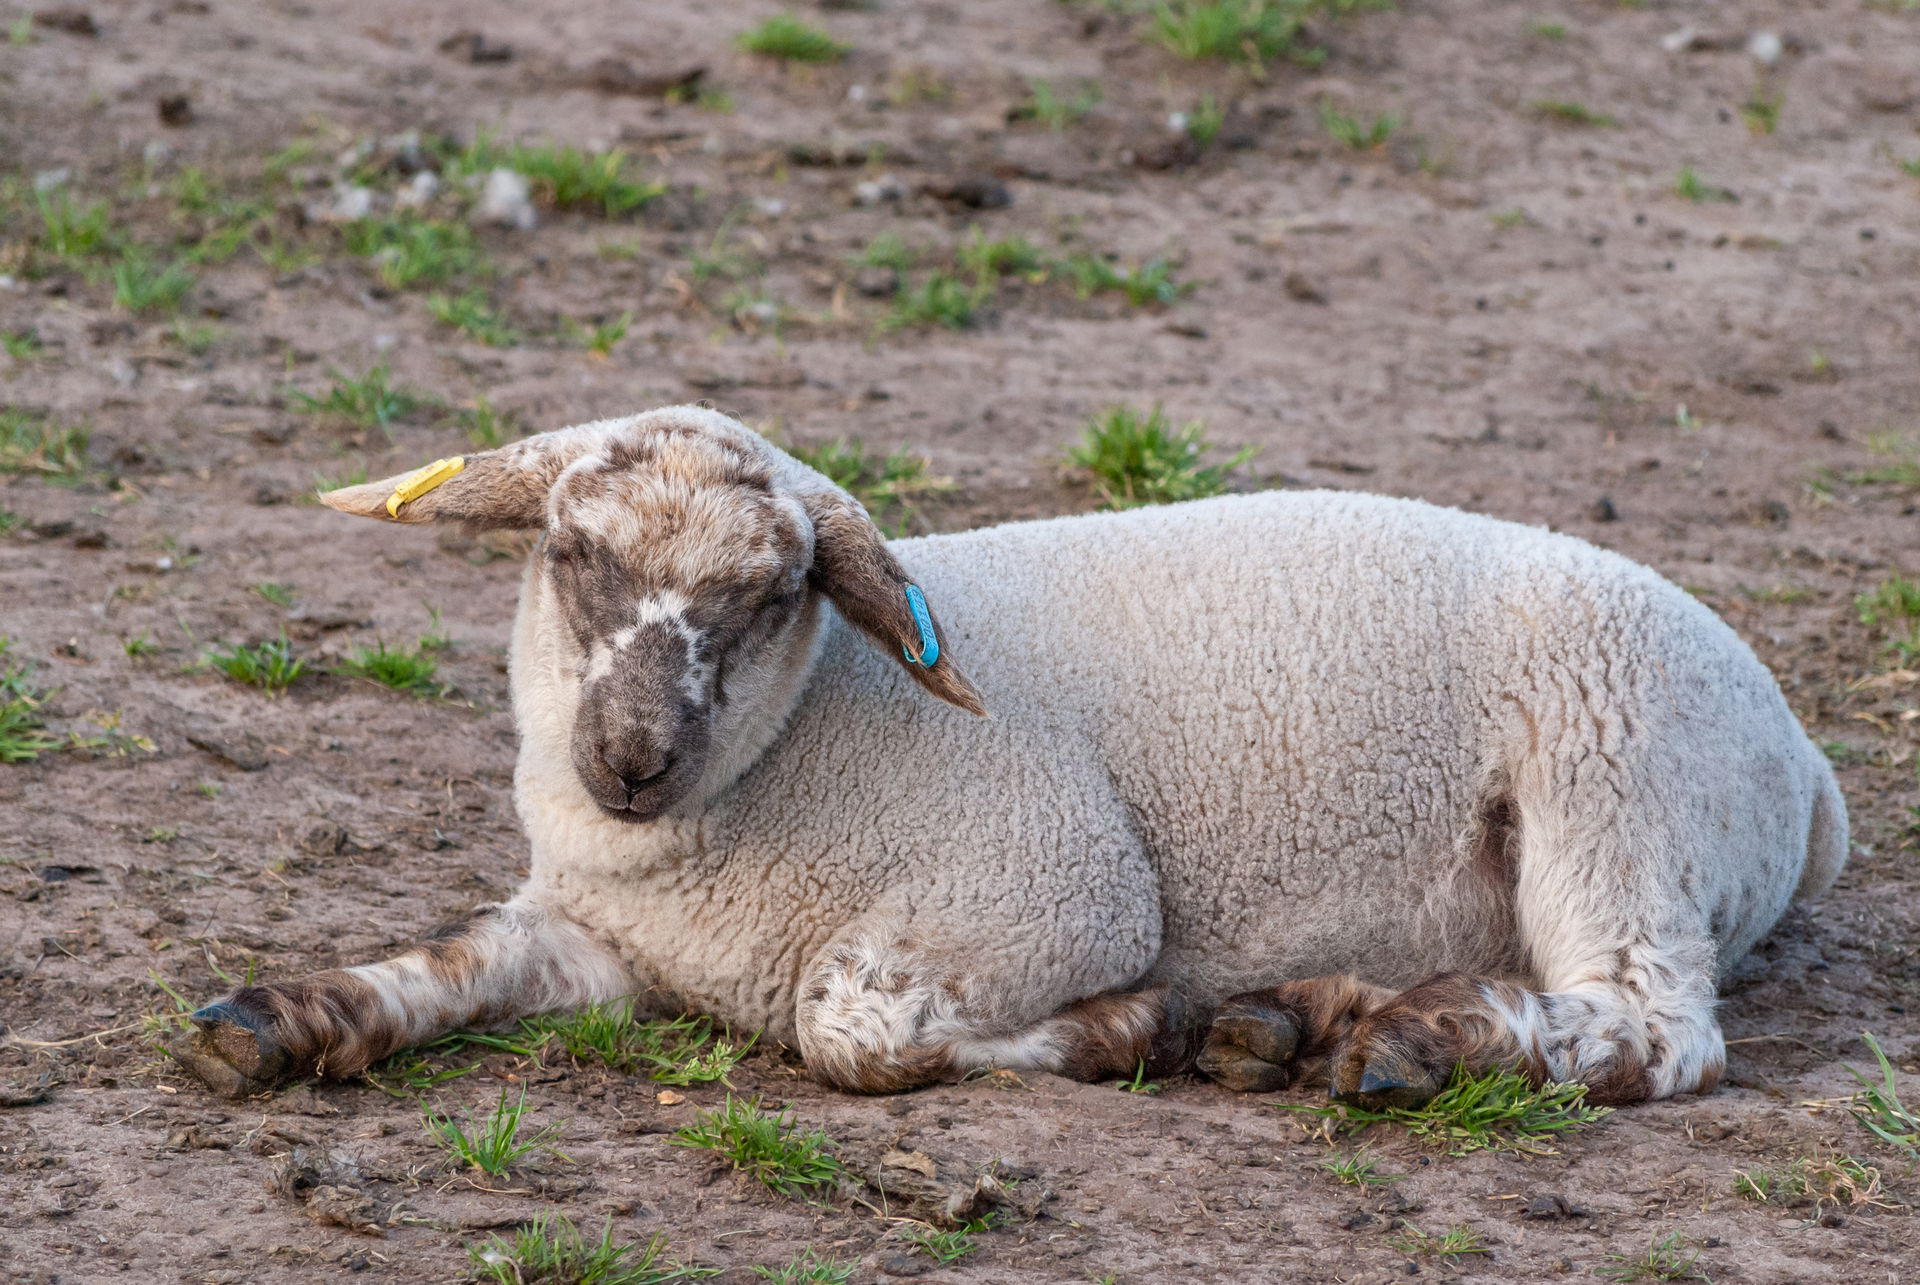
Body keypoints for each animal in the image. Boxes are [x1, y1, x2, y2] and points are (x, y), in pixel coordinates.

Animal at [166, 404, 1848, 1109]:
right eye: (571, 554)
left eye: (769, 594)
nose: (630, 756)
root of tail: (1810, 771)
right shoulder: (599, 936)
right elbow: (456, 959)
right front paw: (288, 1016)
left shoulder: (1062, 883)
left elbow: (851, 1026)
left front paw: (1127, 1030)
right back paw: (1308, 1018)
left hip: (1615, 781)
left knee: (1656, 1031)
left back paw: (1418, 1045)